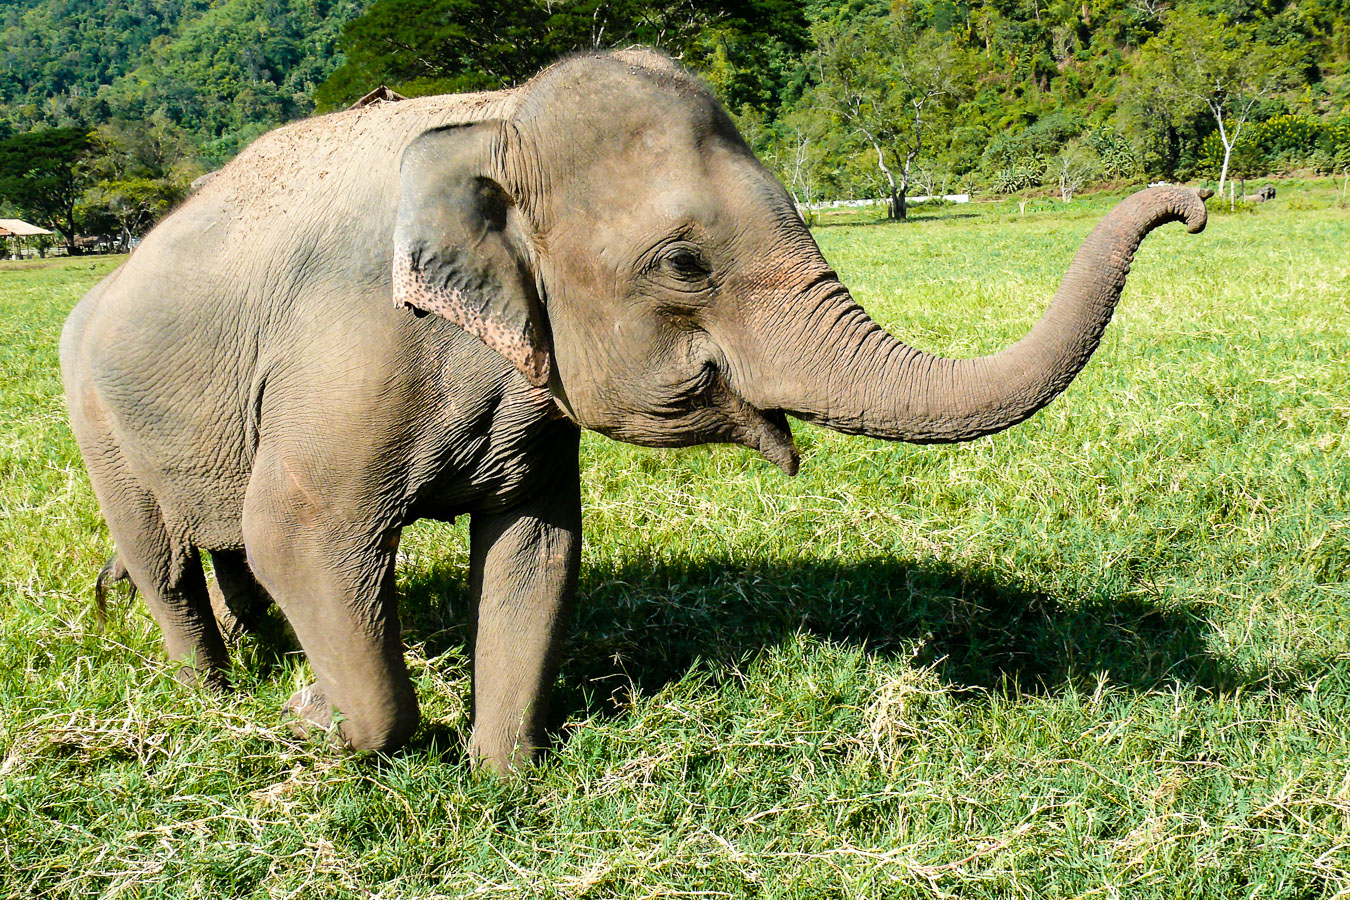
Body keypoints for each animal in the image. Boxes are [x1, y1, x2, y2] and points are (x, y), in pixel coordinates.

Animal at [60, 49, 1215, 771]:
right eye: (684, 264)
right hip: (92, 418)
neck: (496, 115)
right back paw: (222, 694)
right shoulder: (351, 350)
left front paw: (501, 775)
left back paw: (267, 657)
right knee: (175, 562)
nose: (1195, 207)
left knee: (229, 552)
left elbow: (535, 549)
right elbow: (301, 533)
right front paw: (323, 724)